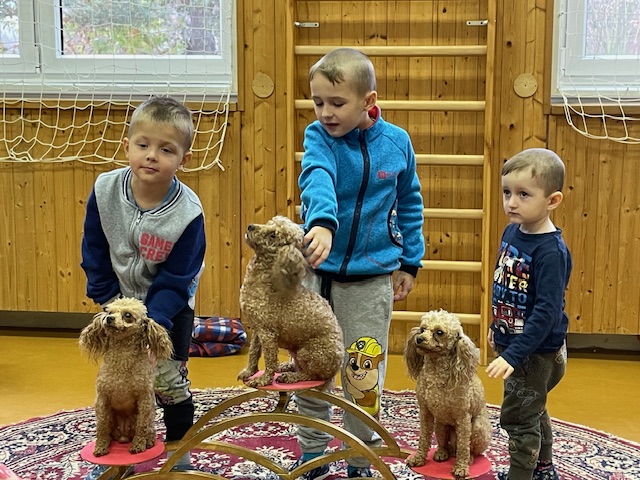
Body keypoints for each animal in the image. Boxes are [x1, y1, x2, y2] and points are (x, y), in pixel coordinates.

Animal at [79, 297, 173, 456]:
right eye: (109, 312)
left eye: (127, 315)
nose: (109, 319)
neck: (122, 358)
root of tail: (123, 436)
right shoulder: (102, 398)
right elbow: (102, 427)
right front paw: (100, 447)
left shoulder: (144, 399)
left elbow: (141, 427)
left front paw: (138, 445)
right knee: (108, 432)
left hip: (147, 419)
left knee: (148, 430)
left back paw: (148, 441)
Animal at [237, 215, 343, 389]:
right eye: (269, 223)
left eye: (273, 235)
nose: (250, 226)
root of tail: (335, 370)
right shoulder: (257, 329)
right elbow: (253, 352)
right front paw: (249, 372)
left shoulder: (268, 333)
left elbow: (269, 360)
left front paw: (263, 380)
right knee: (298, 366)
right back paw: (286, 367)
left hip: (309, 352)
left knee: (311, 375)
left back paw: (290, 376)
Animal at [404, 309, 491, 479]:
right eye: (422, 329)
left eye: (439, 332)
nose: (419, 338)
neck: (436, 373)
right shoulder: (425, 412)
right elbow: (423, 438)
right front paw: (418, 458)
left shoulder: (463, 418)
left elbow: (464, 446)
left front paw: (461, 468)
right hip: (440, 425)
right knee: (446, 446)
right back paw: (442, 453)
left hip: (478, 428)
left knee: (469, 449)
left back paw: (469, 458)